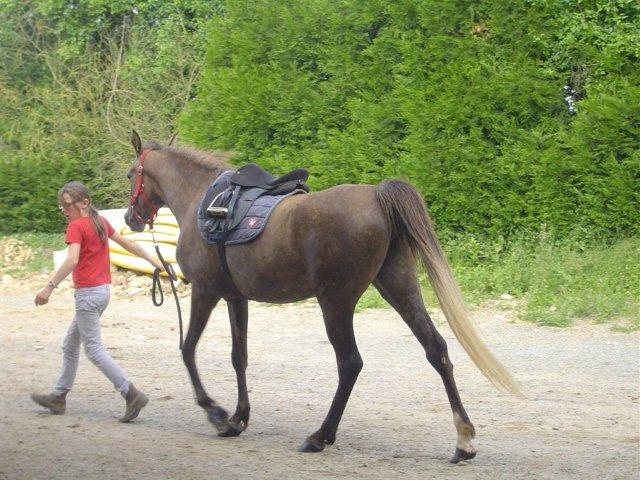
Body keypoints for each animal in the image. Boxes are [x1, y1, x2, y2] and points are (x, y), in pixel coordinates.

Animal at [124, 130, 520, 462]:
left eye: (131, 174)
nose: (130, 217)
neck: (202, 200)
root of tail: (377, 197)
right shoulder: (237, 298)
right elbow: (240, 357)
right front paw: (239, 418)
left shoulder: (206, 292)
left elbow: (188, 349)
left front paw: (217, 413)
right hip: (399, 286)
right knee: (436, 349)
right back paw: (463, 440)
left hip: (336, 302)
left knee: (350, 363)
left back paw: (320, 436)